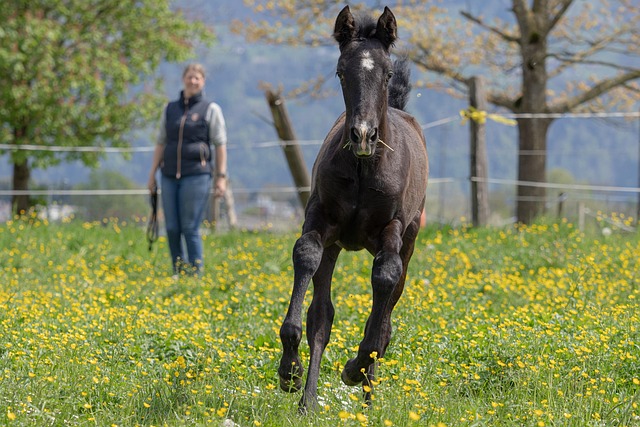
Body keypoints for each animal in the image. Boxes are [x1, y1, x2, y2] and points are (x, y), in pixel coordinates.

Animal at [278, 5, 429, 411]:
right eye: (341, 72)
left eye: (387, 72)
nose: (362, 135)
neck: (363, 169)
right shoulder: (321, 221)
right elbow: (306, 258)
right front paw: (290, 371)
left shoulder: (393, 231)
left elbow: (385, 282)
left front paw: (355, 369)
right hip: (335, 246)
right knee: (322, 316)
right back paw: (308, 401)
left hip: (410, 240)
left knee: (388, 308)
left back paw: (367, 397)